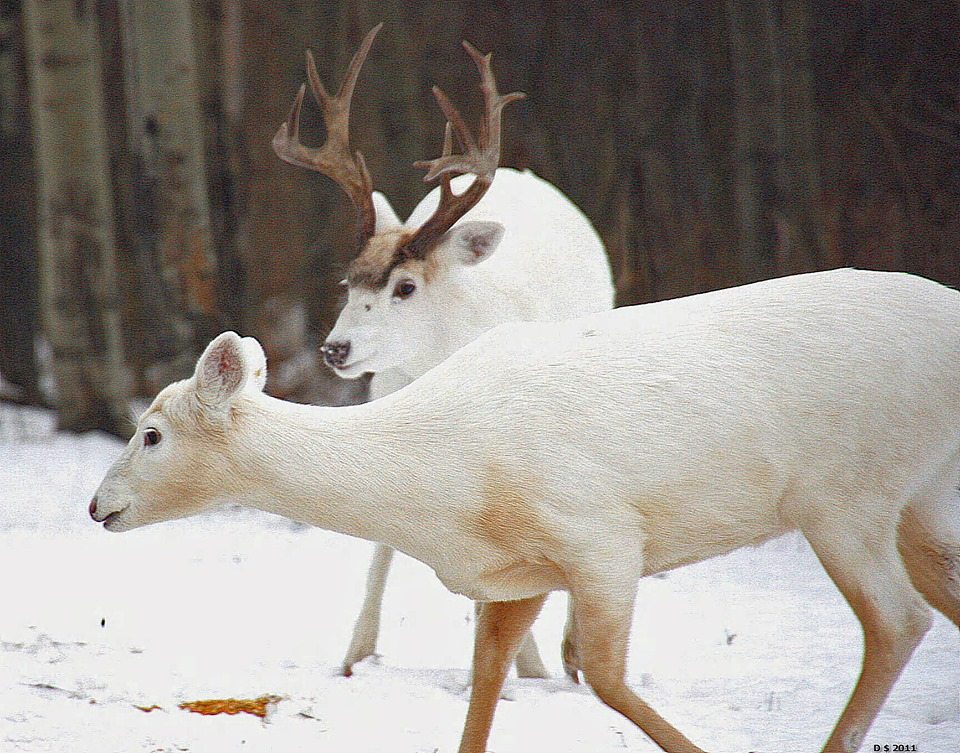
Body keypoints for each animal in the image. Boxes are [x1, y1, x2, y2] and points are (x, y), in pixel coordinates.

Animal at [90, 268, 960, 752]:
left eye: (152, 433)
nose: (98, 505)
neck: (442, 488)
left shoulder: (601, 533)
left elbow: (602, 675)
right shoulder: (518, 575)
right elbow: (483, 684)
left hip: (846, 489)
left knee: (897, 619)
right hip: (921, 492)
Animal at [270, 26, 616, 680]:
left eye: (405, 287)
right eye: (348, 280)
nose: (335, 347)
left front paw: (517, 670)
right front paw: (354, 654)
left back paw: (566, 654)